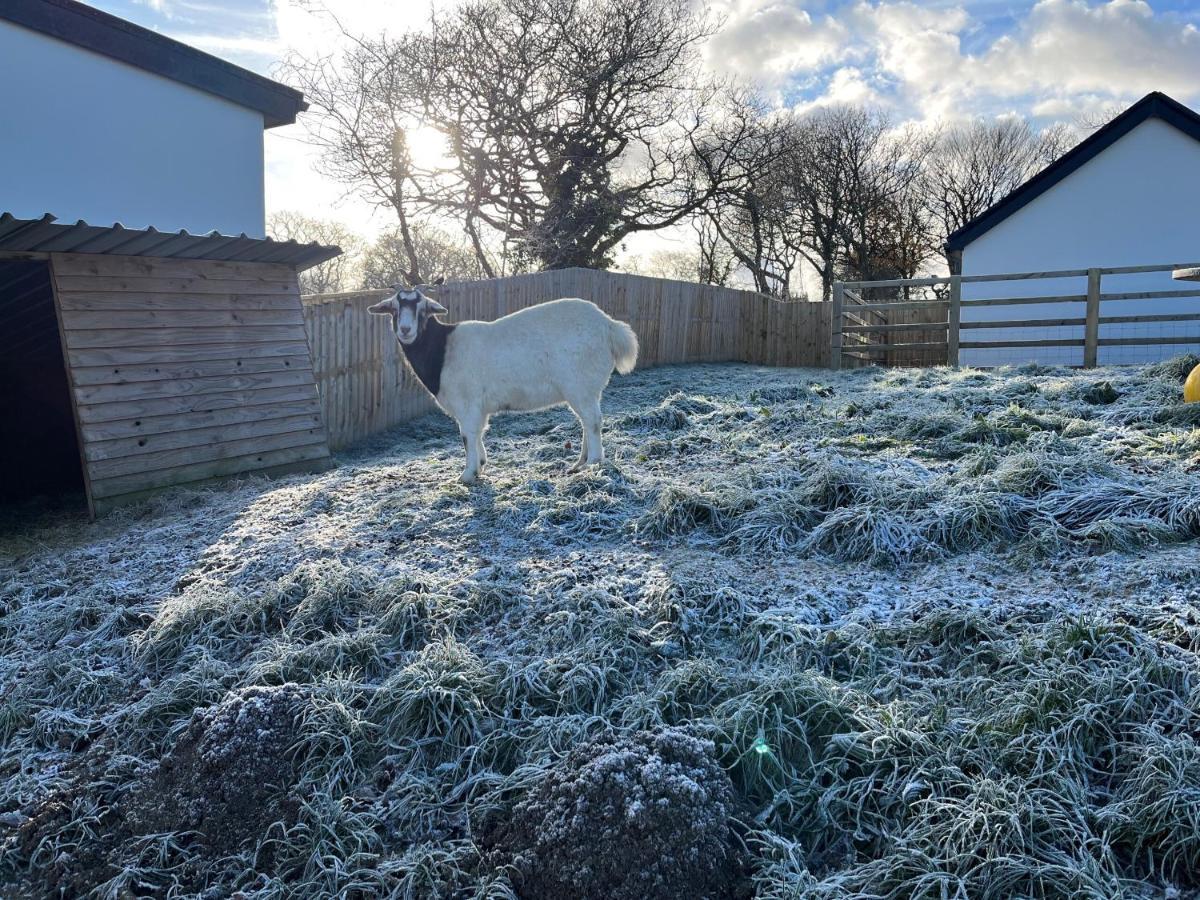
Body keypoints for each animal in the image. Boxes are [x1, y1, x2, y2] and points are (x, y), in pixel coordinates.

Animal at [369, 286, 638, 487]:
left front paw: (468, 474)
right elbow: (478, 433)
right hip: (587, 389)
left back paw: (593, 463)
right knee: (587, 421)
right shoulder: (477, 407)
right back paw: (579, 463)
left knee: (593, 421)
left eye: (422, 309)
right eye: (394, 309)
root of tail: (610, 327)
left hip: (579, 384)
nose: (406, 330)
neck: (443, 349)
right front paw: (481, 465)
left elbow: (467, 435)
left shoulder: (467, 403)